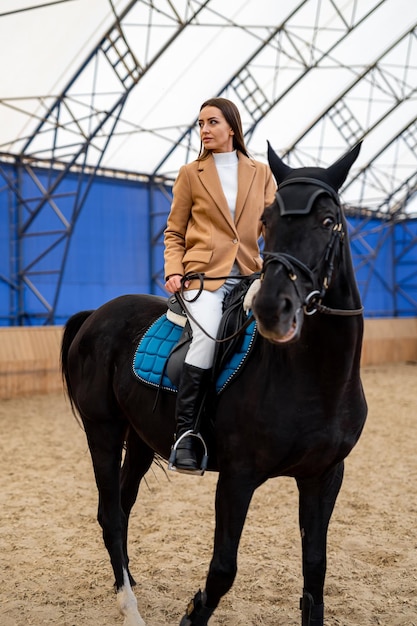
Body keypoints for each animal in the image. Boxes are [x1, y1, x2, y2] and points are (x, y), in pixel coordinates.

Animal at [60, 143, 366, 624]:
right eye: (267, 221)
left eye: (328, 221)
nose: (273, 308)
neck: (316, 380)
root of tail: (96, 314)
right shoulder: (239, 476)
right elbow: (222, 568)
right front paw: (191, 612)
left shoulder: (324, 475)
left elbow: (315, 571)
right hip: (102, 430)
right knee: (109, 513)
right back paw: (129, 607)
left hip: (140, 438)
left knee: (123, 508)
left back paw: (126, 582)